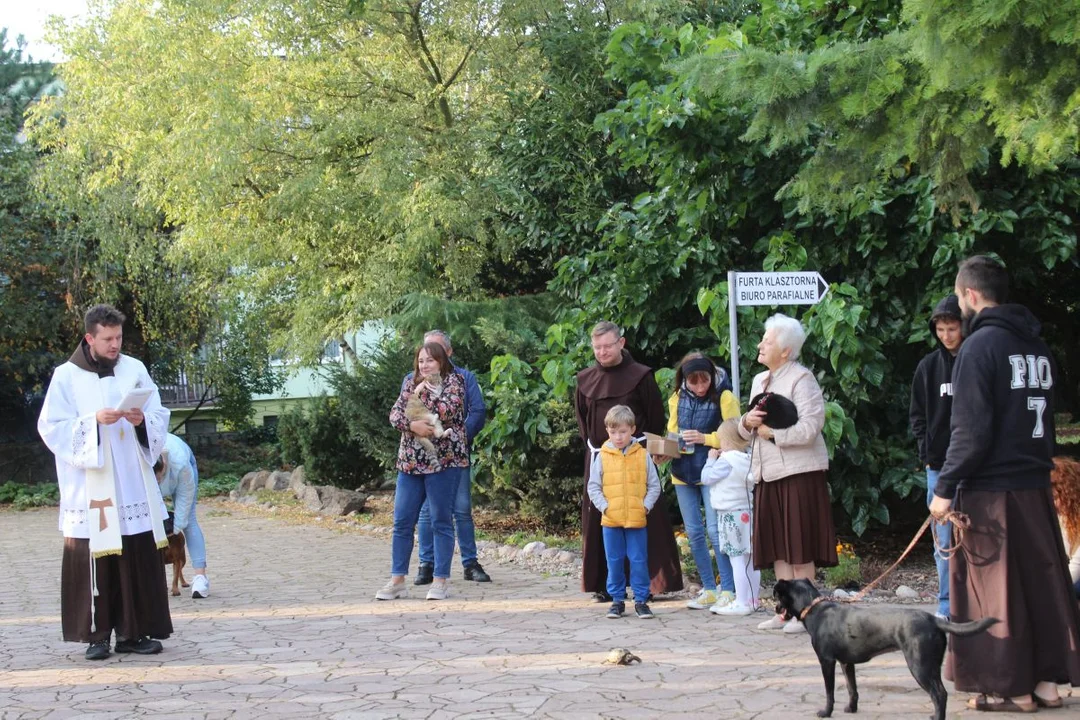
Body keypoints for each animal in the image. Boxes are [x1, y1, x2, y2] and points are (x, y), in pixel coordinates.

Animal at [777, 578, 993, 720]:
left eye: (777, 597)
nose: (776, 609)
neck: (814, 609)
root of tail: (933, 620)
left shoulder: (826, 661)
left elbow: (829, 691)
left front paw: (826, 712)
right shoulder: (847, 663)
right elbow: (852, 688)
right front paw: (851, 708)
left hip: (919, 666)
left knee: (939, 694)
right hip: (931, 665)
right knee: (940, 693)